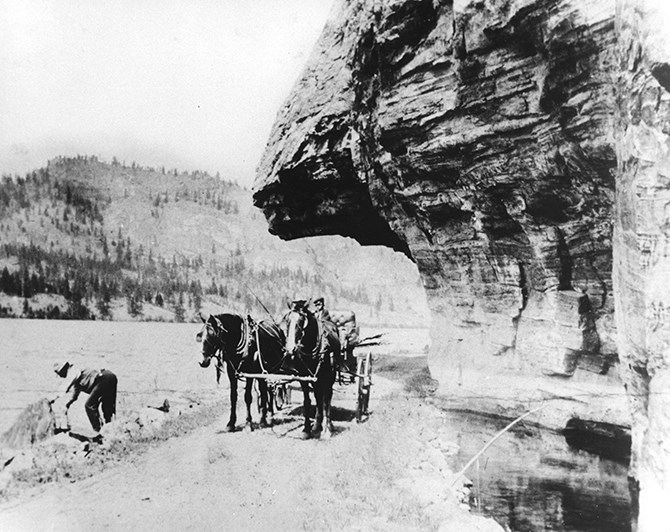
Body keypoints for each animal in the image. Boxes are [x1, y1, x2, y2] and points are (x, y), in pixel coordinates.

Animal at [284, 302, 344, 438]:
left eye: (301, 321)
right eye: (287, 320)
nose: (290, 350)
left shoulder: (326, 378)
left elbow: (326, 402)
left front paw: (327, 431)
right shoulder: (304, 378)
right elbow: (307, 401)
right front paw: (306, 429)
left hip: (329, 378)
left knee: (327, 398)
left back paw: (328, 425)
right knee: (318, 397)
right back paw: (317, 425)